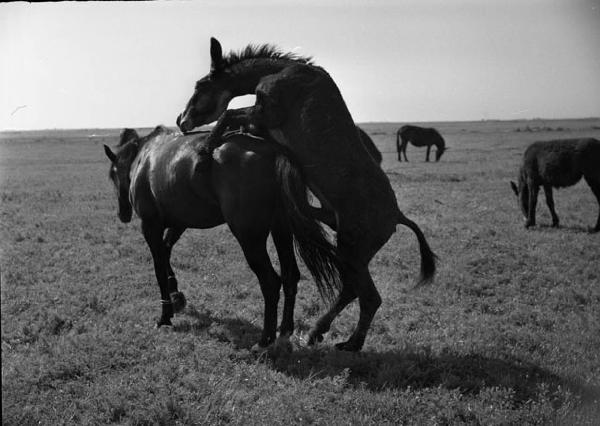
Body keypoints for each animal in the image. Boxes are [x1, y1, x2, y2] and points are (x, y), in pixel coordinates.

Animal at [103, 125, 342, 348]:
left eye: (113, 174)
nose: (123, 214)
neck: (145, 158)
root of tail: (274, 152)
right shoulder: (178, 223)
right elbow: (166, 251)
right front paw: (175, 294)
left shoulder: (150, 225)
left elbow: (159, 267)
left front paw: (165, 316)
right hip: (281, 229)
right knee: (290, 276)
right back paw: (283, 332)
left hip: (249, 238)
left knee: (271, 282)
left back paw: (265, 340)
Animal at [175, 37, 436, 350]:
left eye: (200, 86)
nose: (180, 120)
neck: (281, 72)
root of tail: (397, 216)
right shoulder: (260, 122)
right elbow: (232, 119)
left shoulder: (265, 114)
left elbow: (228, 115)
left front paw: (205, 151)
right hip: (351, 248)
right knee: (352, 290)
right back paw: (316, 332)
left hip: (352, 250)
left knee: (369, 297)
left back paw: (350, 343)